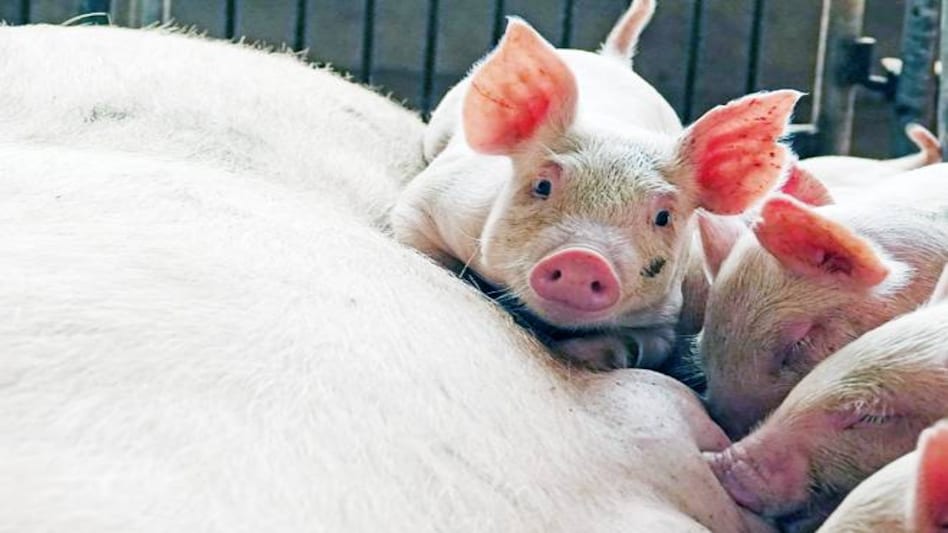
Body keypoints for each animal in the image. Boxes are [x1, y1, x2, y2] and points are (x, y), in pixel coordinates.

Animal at [391, 0, 801, 370]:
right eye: (543, 185)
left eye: (663, 217)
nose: (583, 258)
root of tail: (614, 59)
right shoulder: (433, 201)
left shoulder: (665, 315)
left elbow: (650, 344)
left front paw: (603, 356)